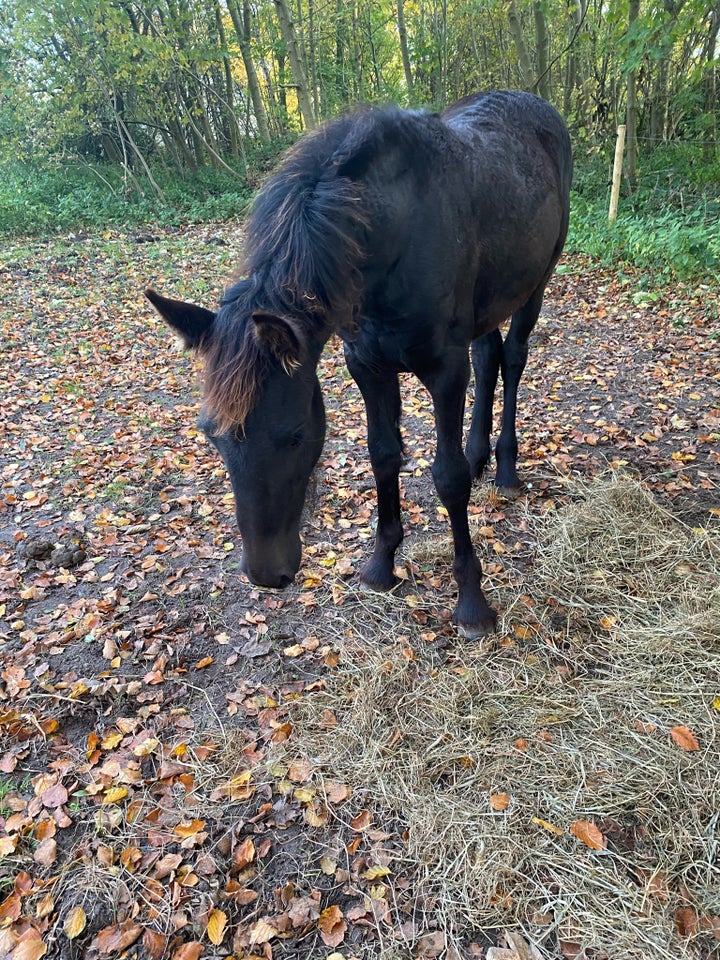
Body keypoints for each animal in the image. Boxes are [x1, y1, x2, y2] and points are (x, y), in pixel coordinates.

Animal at [148, 92, 572, 636]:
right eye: (210, 436)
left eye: (294, 436)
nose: (266, 574)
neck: (393, 239)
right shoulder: (367, 367)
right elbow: (383, 455)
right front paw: (381, 565)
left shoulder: (445, 371)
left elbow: (447, 477)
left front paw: (471, 602)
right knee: (489, 355)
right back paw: (481, 455)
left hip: (535, 285)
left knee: (514, 358)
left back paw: (504, 467)